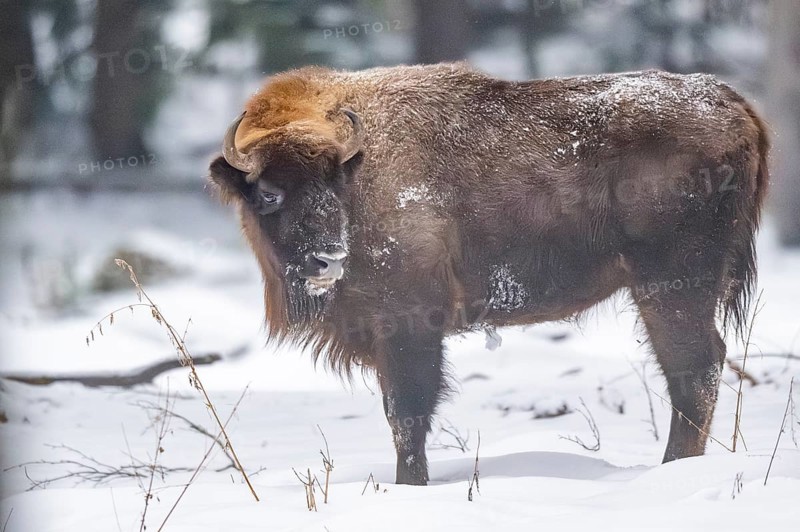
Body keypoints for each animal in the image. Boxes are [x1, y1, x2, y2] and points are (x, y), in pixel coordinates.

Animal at [209, 63, 769, 485]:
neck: (360, 169)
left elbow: (407, 415)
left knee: (694, 368)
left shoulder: (410, 327)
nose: (328, 260)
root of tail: (731, 103)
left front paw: (410, 486)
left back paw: (672, 469)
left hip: (671, 287)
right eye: (268, 193)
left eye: (332, 187)